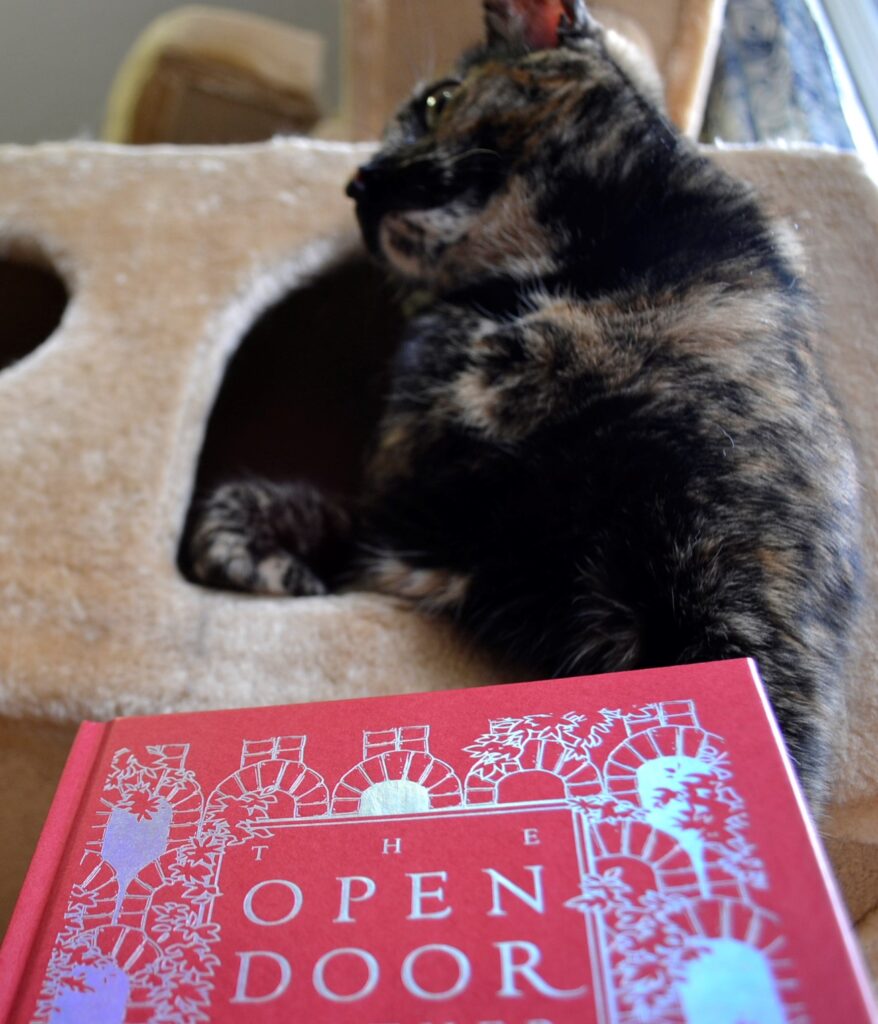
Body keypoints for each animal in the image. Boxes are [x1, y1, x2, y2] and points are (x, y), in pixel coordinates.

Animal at [190, 0, 856, 806]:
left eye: (436, 102)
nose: (357, 181)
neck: (525, 295)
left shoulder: (748, 590)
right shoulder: (418, 522)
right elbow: (296, 522)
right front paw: (250, 549)